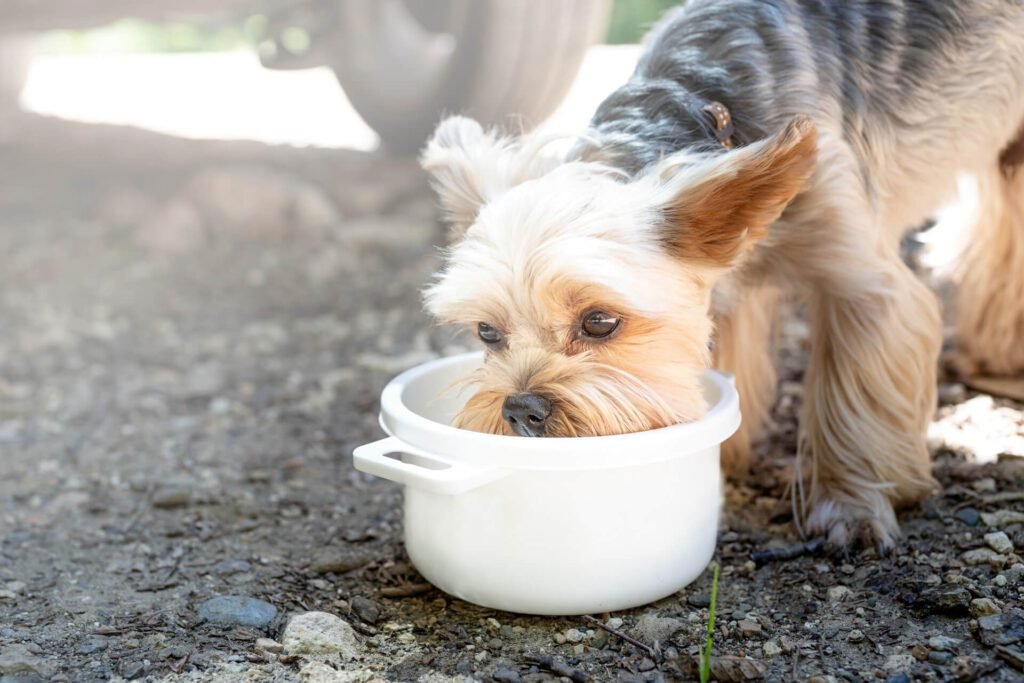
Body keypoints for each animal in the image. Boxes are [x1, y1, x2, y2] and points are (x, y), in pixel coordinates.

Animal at [413, 0, 1024, 548]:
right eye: (487, 333)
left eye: (600, 322)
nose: (521, 409)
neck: (701, 106)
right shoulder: (724, 281)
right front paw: (722, 459)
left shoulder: (859, 278)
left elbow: (855, 399)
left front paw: (850, 507)